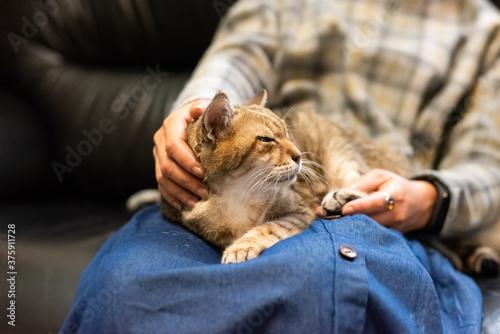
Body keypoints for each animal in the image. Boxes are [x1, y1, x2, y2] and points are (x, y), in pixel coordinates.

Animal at [162, 90, 498, 276]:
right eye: (267, 140)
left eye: (288, 133)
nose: (299, 156)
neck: (237, 192)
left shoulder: (300, 209)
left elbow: (268, 228)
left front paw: (241, 247)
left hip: (341, 156)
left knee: (359, 184)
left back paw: (340, 197)